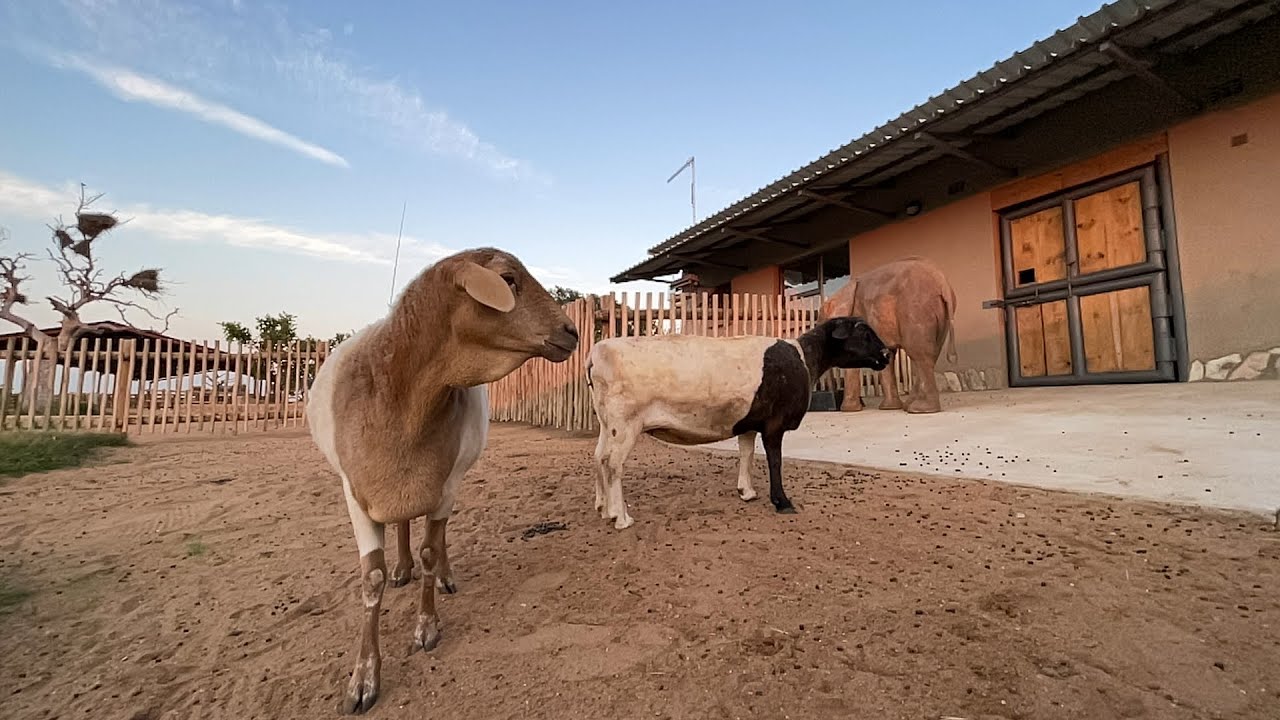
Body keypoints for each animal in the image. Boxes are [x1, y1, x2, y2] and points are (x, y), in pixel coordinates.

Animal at [306, 247, 579, 714]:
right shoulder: (355, 494)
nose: (572, 331)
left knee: (439, 531)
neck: (398, 400)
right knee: (401, 525)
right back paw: (402, 568)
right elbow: (372, 578)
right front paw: (362, 680)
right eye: (508, 278)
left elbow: (432, 549)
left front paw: (428, 626)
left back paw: (444, 576)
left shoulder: (445, 483)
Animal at [585, 316, 890, 529]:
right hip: (625, 424)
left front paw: (747, 492)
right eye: (863, 331)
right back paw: (621, 517)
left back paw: (603, 508)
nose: (887, 354)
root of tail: (596, 353)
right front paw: (782, 501)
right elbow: (775, 460)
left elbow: (747, 454)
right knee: (613, 464)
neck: (805, 359)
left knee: (599, 457)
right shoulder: (775, 423)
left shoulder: (749, 423)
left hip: (607, 424)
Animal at [819, 256, 957, 414]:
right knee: (930, 353)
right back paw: (909, 405)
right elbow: (886, 355)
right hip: (940, 314)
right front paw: (889, 408)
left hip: (916, 309)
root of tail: (942, 282)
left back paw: (919, 409)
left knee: (919, 354)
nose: (832, 404)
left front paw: (849, 411)